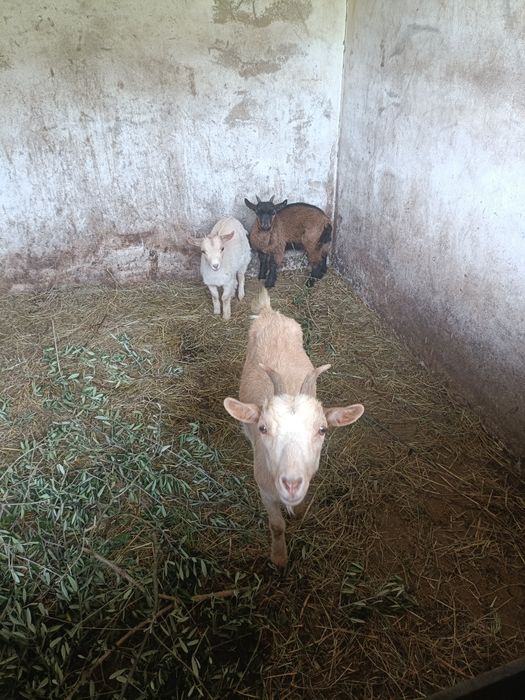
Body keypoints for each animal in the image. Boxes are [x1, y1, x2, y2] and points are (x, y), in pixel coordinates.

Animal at [223, 287, 364, 566]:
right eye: (263, 428)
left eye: (322, 429)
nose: (291, 484)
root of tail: (271, 313)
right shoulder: (265, 490)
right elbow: (277, 526)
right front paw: (279, 557)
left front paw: (298, 513)